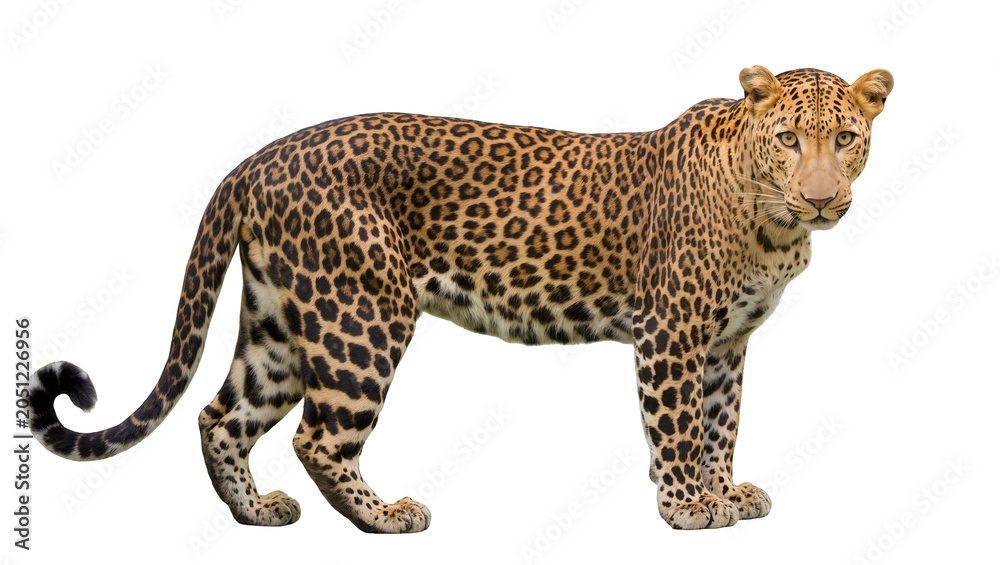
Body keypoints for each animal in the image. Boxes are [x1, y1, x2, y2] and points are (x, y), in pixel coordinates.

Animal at [28, 65, 892, 531]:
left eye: (846, 138)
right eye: (789, 139)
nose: (821, 197)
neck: (772, 221)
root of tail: (258, 159)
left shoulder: (726, 342)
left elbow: (720, 423)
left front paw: (724, 492)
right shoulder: (673, 333)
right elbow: (677, 425)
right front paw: (685, 506)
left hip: (278, 324)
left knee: (220, 416)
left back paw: (256, 513)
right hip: (360, 316)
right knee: (319, 436)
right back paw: (384, 517)